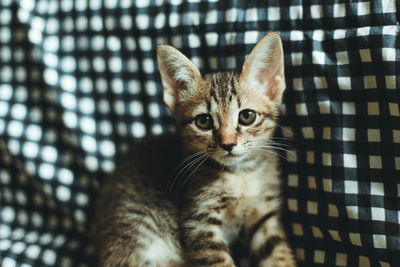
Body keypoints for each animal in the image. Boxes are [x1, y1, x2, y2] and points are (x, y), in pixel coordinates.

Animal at [92, 32, 296, 266]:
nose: (228, 144)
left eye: (247, 116)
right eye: (204, 121)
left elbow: (278, 254)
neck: (240, 175)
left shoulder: (264, 213)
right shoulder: (199, 220)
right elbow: (220, 261)